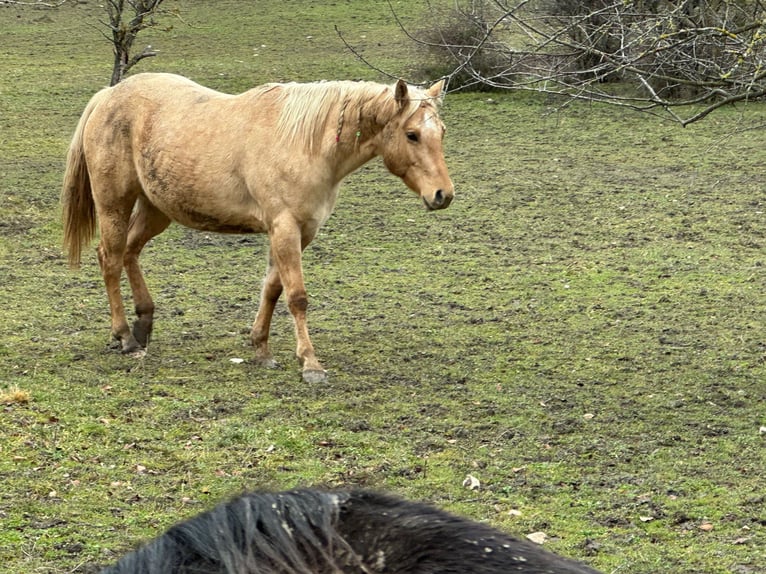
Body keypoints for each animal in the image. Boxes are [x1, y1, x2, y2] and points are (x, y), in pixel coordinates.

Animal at [61, 73, 454, 383]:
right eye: (412, 134)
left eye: (442, 132)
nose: (443, 194)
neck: (305, 144)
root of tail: (108, 95)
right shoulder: (285, 228)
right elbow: (296, 297)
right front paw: (310, 364)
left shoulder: (300, 232)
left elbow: (273, 289)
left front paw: (261, 348)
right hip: (115, 203)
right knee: (110, 258)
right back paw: (126, 337)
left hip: (156, 208)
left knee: (130, 252)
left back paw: (143, 326)